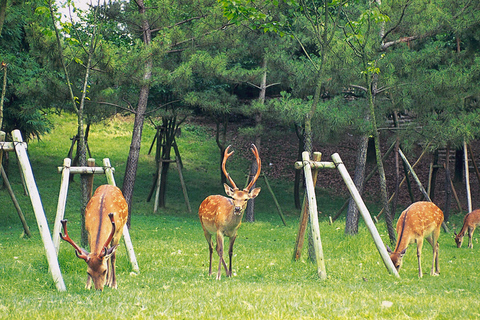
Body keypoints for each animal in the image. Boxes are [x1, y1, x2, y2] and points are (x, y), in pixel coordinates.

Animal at [198, 144, 260, 278]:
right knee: (212, 247)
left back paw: (225, 272)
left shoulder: (234, 233)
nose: (237, 208)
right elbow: (221, 250)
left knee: (215, 247)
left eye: (246, 199)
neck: (229, 226)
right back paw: (210, 272)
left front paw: (230, 273)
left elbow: (230, 251)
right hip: (205, 228)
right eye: (233, 198)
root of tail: (204, 200)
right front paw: (218, 275)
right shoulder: (219, 230)